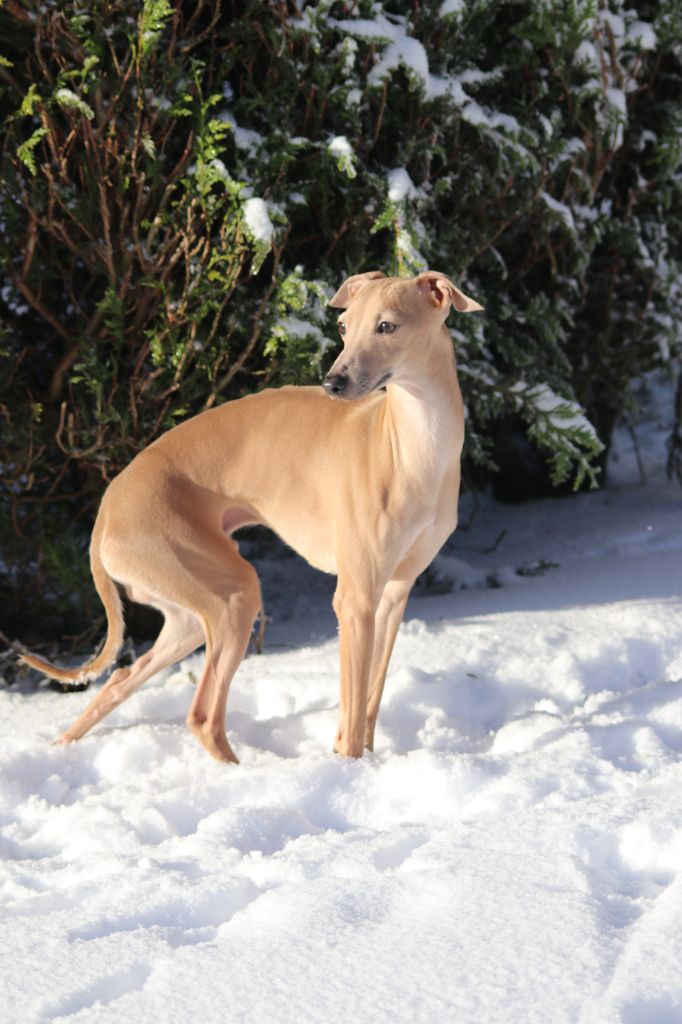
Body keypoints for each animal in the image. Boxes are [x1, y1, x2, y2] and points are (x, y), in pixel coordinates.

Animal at [21, 270, 482, 761]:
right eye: (343, 327)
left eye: (387, 326)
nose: (332, 383)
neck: (414, 447)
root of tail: (107, 508)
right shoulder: (355, 600)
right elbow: (353, 715)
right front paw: (349, 769)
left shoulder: (394, 593)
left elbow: (370, 702)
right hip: (233, 594)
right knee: (202, 715)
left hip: (189, 616)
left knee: (119, 680)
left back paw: (62, 744)